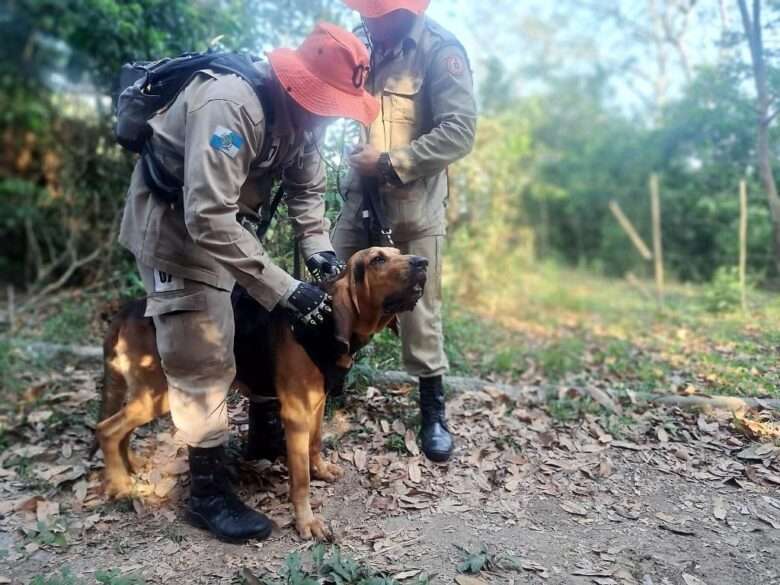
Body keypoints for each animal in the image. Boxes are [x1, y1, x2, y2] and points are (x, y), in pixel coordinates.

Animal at [96, 246, 432, 540]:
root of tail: (127, 310)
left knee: (120, 429)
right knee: (107, 429)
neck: (322, 323)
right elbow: (300, 480)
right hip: (159, 394)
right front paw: (306, 522)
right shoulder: (296, 414)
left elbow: (315, 443)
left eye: (397, 251)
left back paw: (130, 465)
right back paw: (120, 484)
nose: (423, 262)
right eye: (378, 259)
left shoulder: (317, 403)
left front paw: (321, 469)